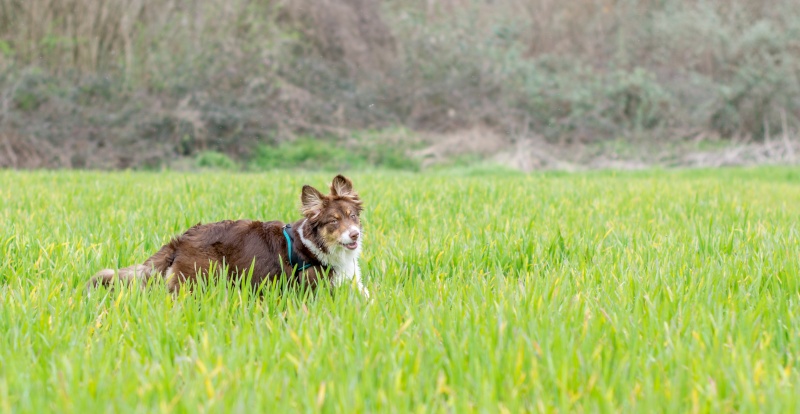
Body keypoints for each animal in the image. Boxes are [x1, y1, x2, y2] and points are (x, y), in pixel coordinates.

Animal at [89, 174, 370, 298]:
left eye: (352, 216)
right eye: (334, 221)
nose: (355, 234)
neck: (317, 247)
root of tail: (181, 239)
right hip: (200, 279)